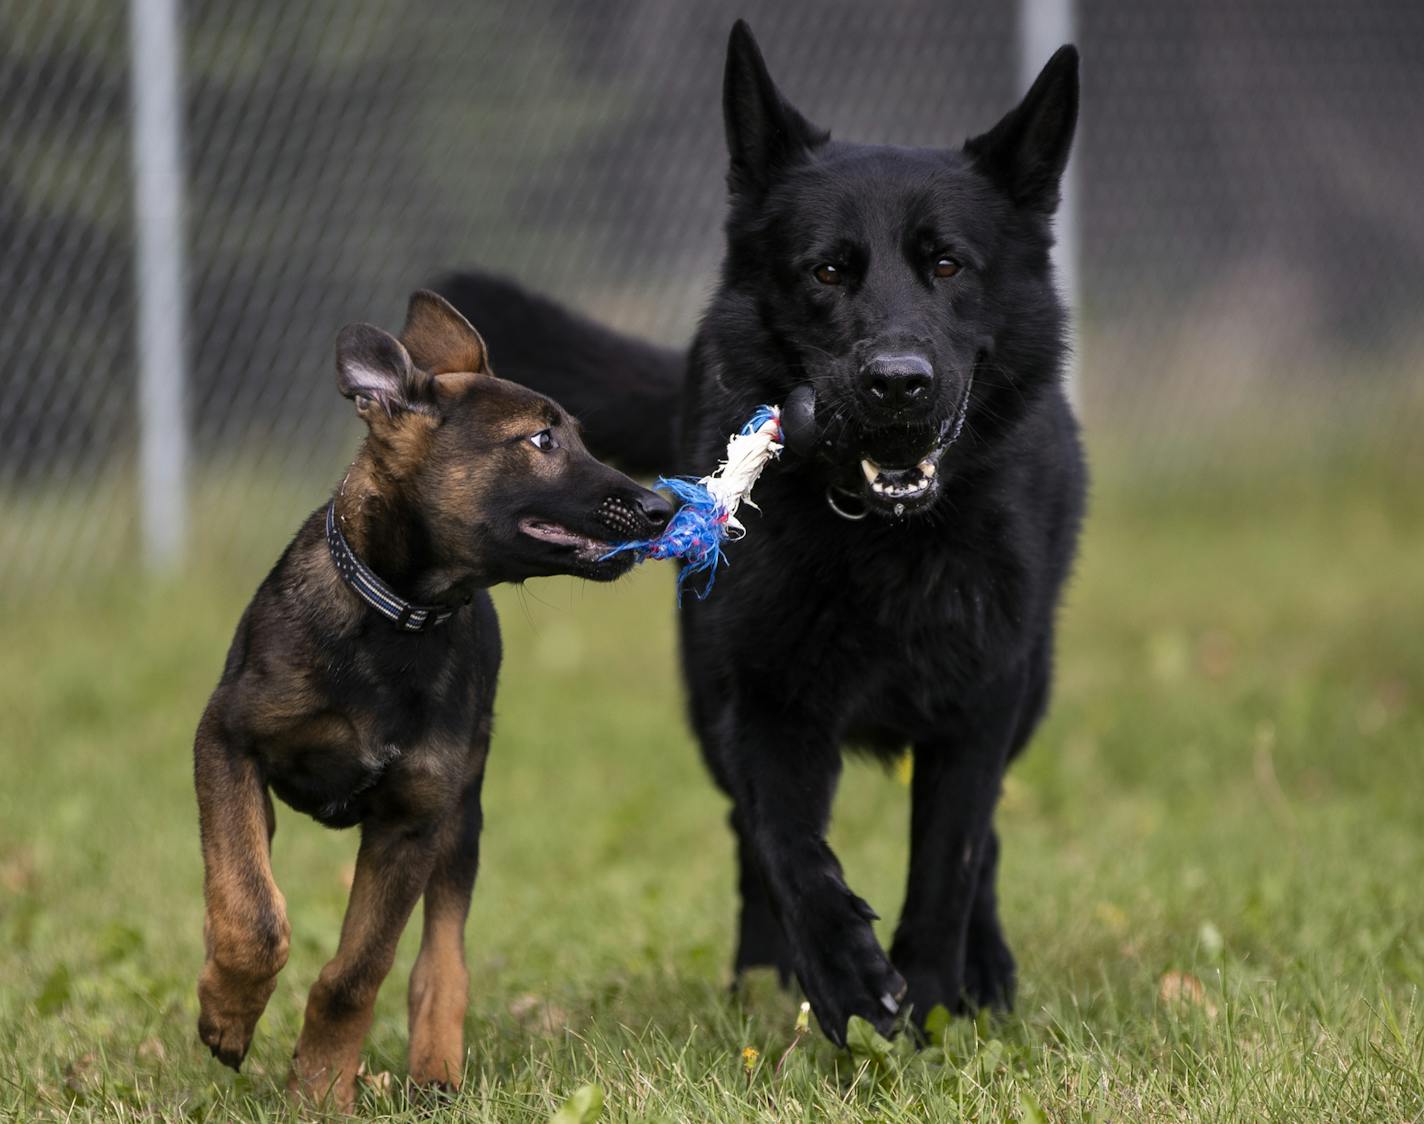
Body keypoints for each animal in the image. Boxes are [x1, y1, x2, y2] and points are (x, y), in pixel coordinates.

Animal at [190, 293, 672, 1111]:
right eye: (542, 439)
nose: (663, 504)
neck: (397, 618)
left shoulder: (413, 819)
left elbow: (357, 974)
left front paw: (320, 1091)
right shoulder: (227, 742)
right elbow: (252, 912)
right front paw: (228, 1012)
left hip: (463, 814)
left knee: (442, 957)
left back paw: (436, 1068)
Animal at [438, 24, 1082, 1042]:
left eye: (949, 265)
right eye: (827, 270)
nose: (896, 384)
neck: (880, 539)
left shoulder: (981, 706)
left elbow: (949, 863)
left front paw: (932, 1001)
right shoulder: (765, 699)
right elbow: (787, 844)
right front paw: (845, 976)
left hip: (1030, 690)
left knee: (984, 847)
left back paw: (985, 972)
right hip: (707, 705)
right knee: (746, 839)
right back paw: (762, 983)